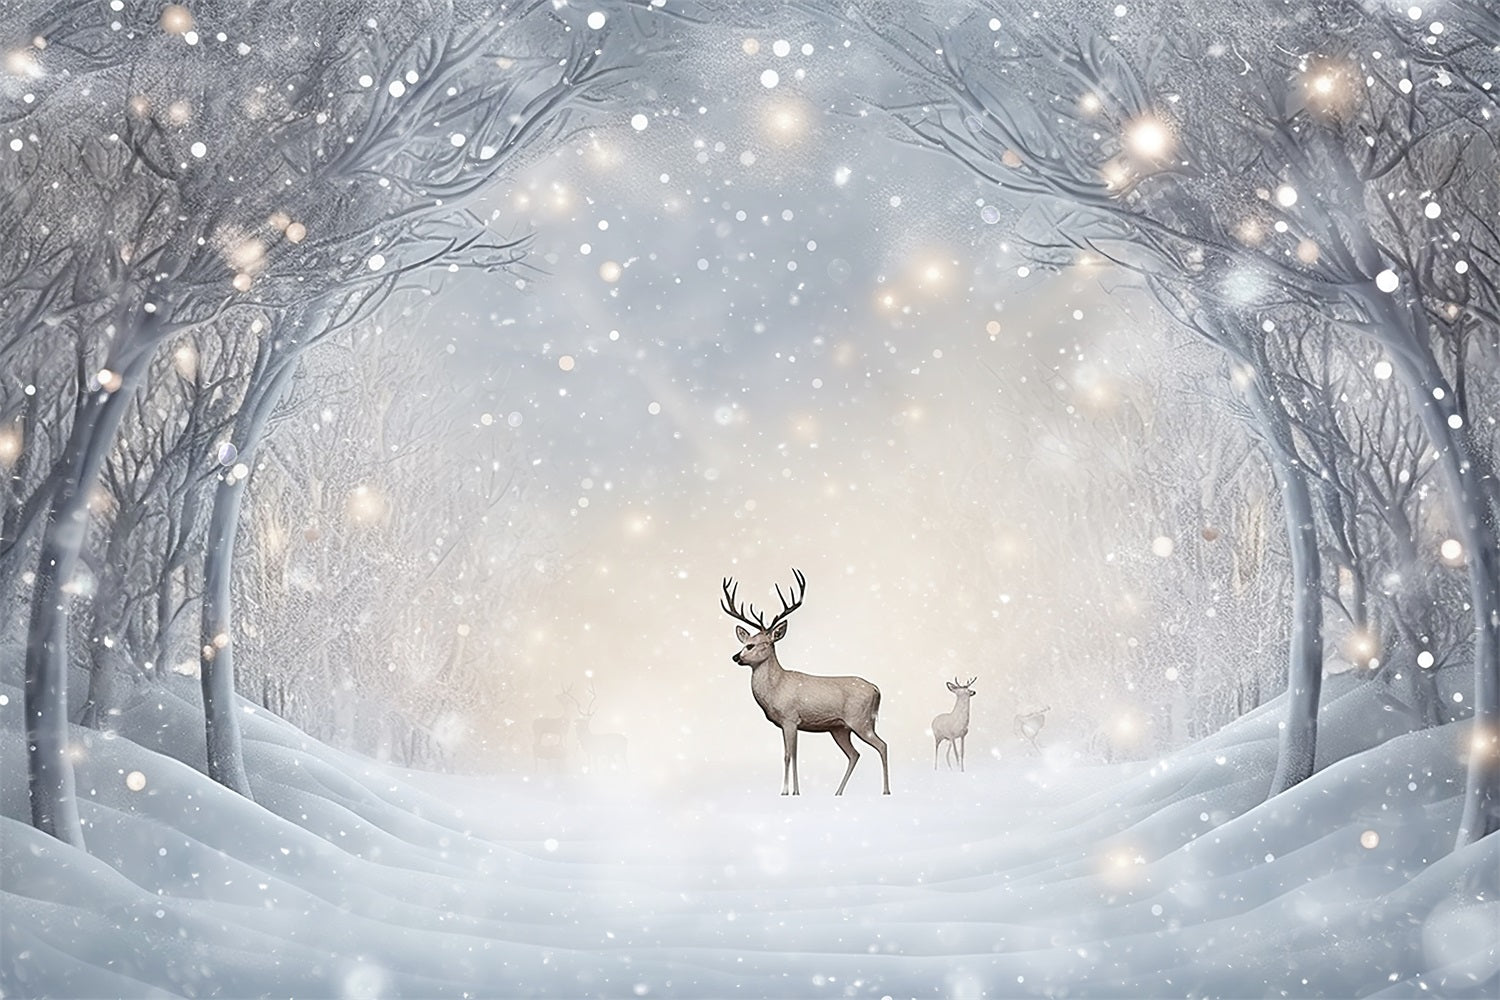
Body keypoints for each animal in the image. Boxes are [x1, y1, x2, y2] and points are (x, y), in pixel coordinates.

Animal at [721, 569, 890, 796]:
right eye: (746, 642)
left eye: (760, 644)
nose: (736, 657)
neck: (776, 689)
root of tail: (875, 688)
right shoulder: (791, 723)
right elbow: (794, 755)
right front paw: (795, 791)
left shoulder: (790, 718)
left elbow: (787, 755)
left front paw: (786, 792)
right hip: (840, 728)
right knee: (854, 754)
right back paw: (838, 792)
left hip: (860, 720)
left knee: (882, 745)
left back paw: (886, 791)